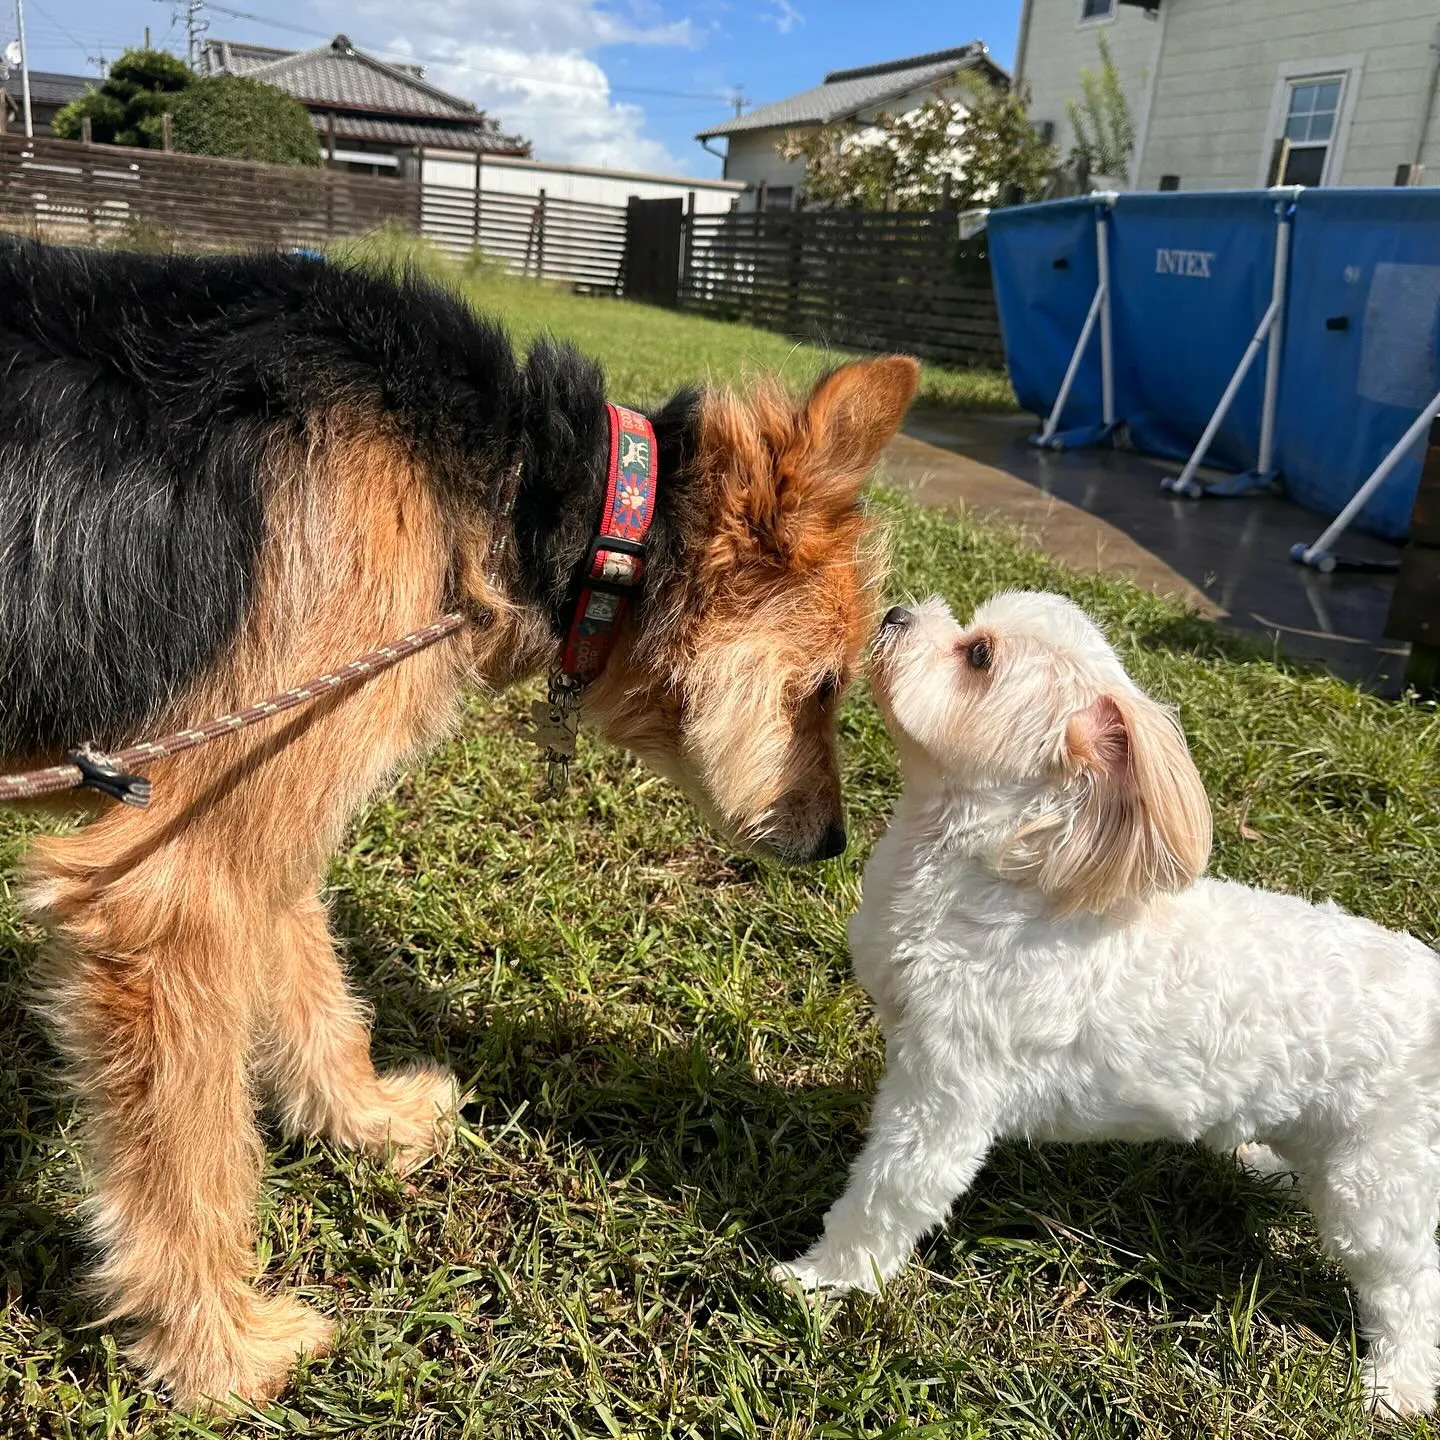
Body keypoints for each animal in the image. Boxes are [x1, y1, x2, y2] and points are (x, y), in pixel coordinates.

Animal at [0, 239, 915, 1405]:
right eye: (830, 687)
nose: (835, 843)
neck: (528, 491)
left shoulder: (272, 801)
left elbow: (315, 988)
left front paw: (367, 1121)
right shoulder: (177, 879)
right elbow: (192, 1150)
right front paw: (220, 1349)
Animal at [783, 587, 1440, 1416]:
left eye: (978, 656)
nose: (899, 612)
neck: (993, 876)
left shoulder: (946, 1094)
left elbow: (889, 1192)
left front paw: (820, 1278)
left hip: (1377, 1176)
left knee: (1410, 1284)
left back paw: (1398, 1385)